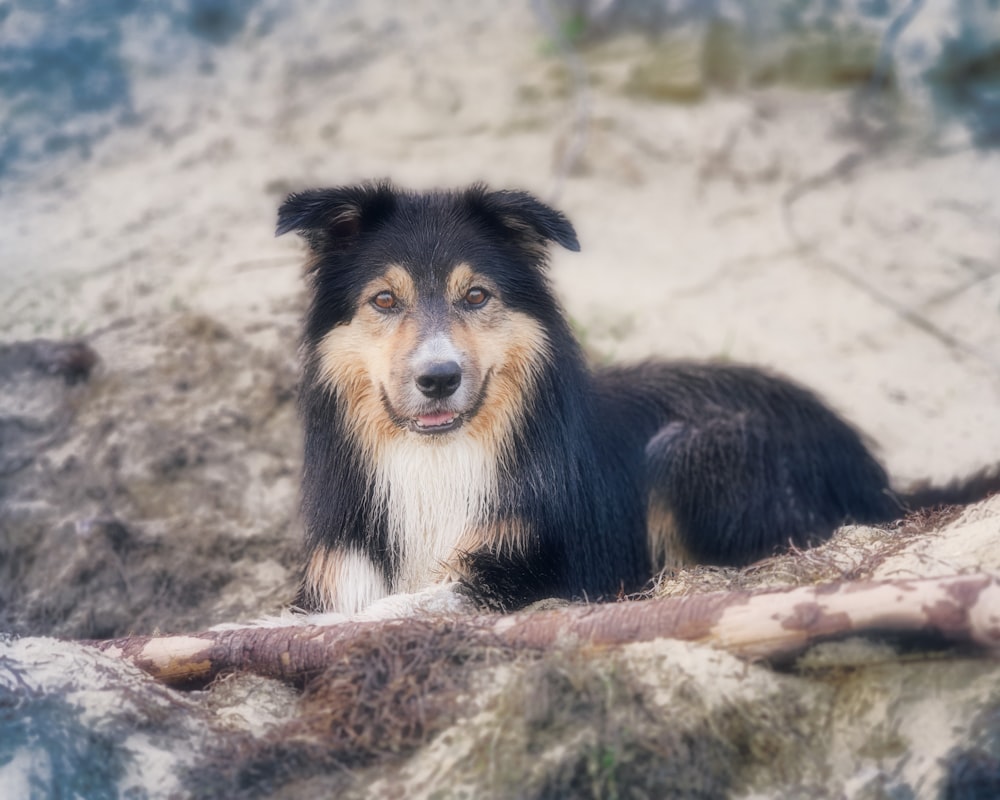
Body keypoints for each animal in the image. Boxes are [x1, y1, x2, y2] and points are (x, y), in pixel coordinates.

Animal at [276, 183, 1000, 620]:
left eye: (476, 296)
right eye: (384, 300)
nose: (438, 378)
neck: (438, 454)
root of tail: (873, 475)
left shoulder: (542, 569)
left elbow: (405, 605)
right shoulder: (345, 568)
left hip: (689, 450)